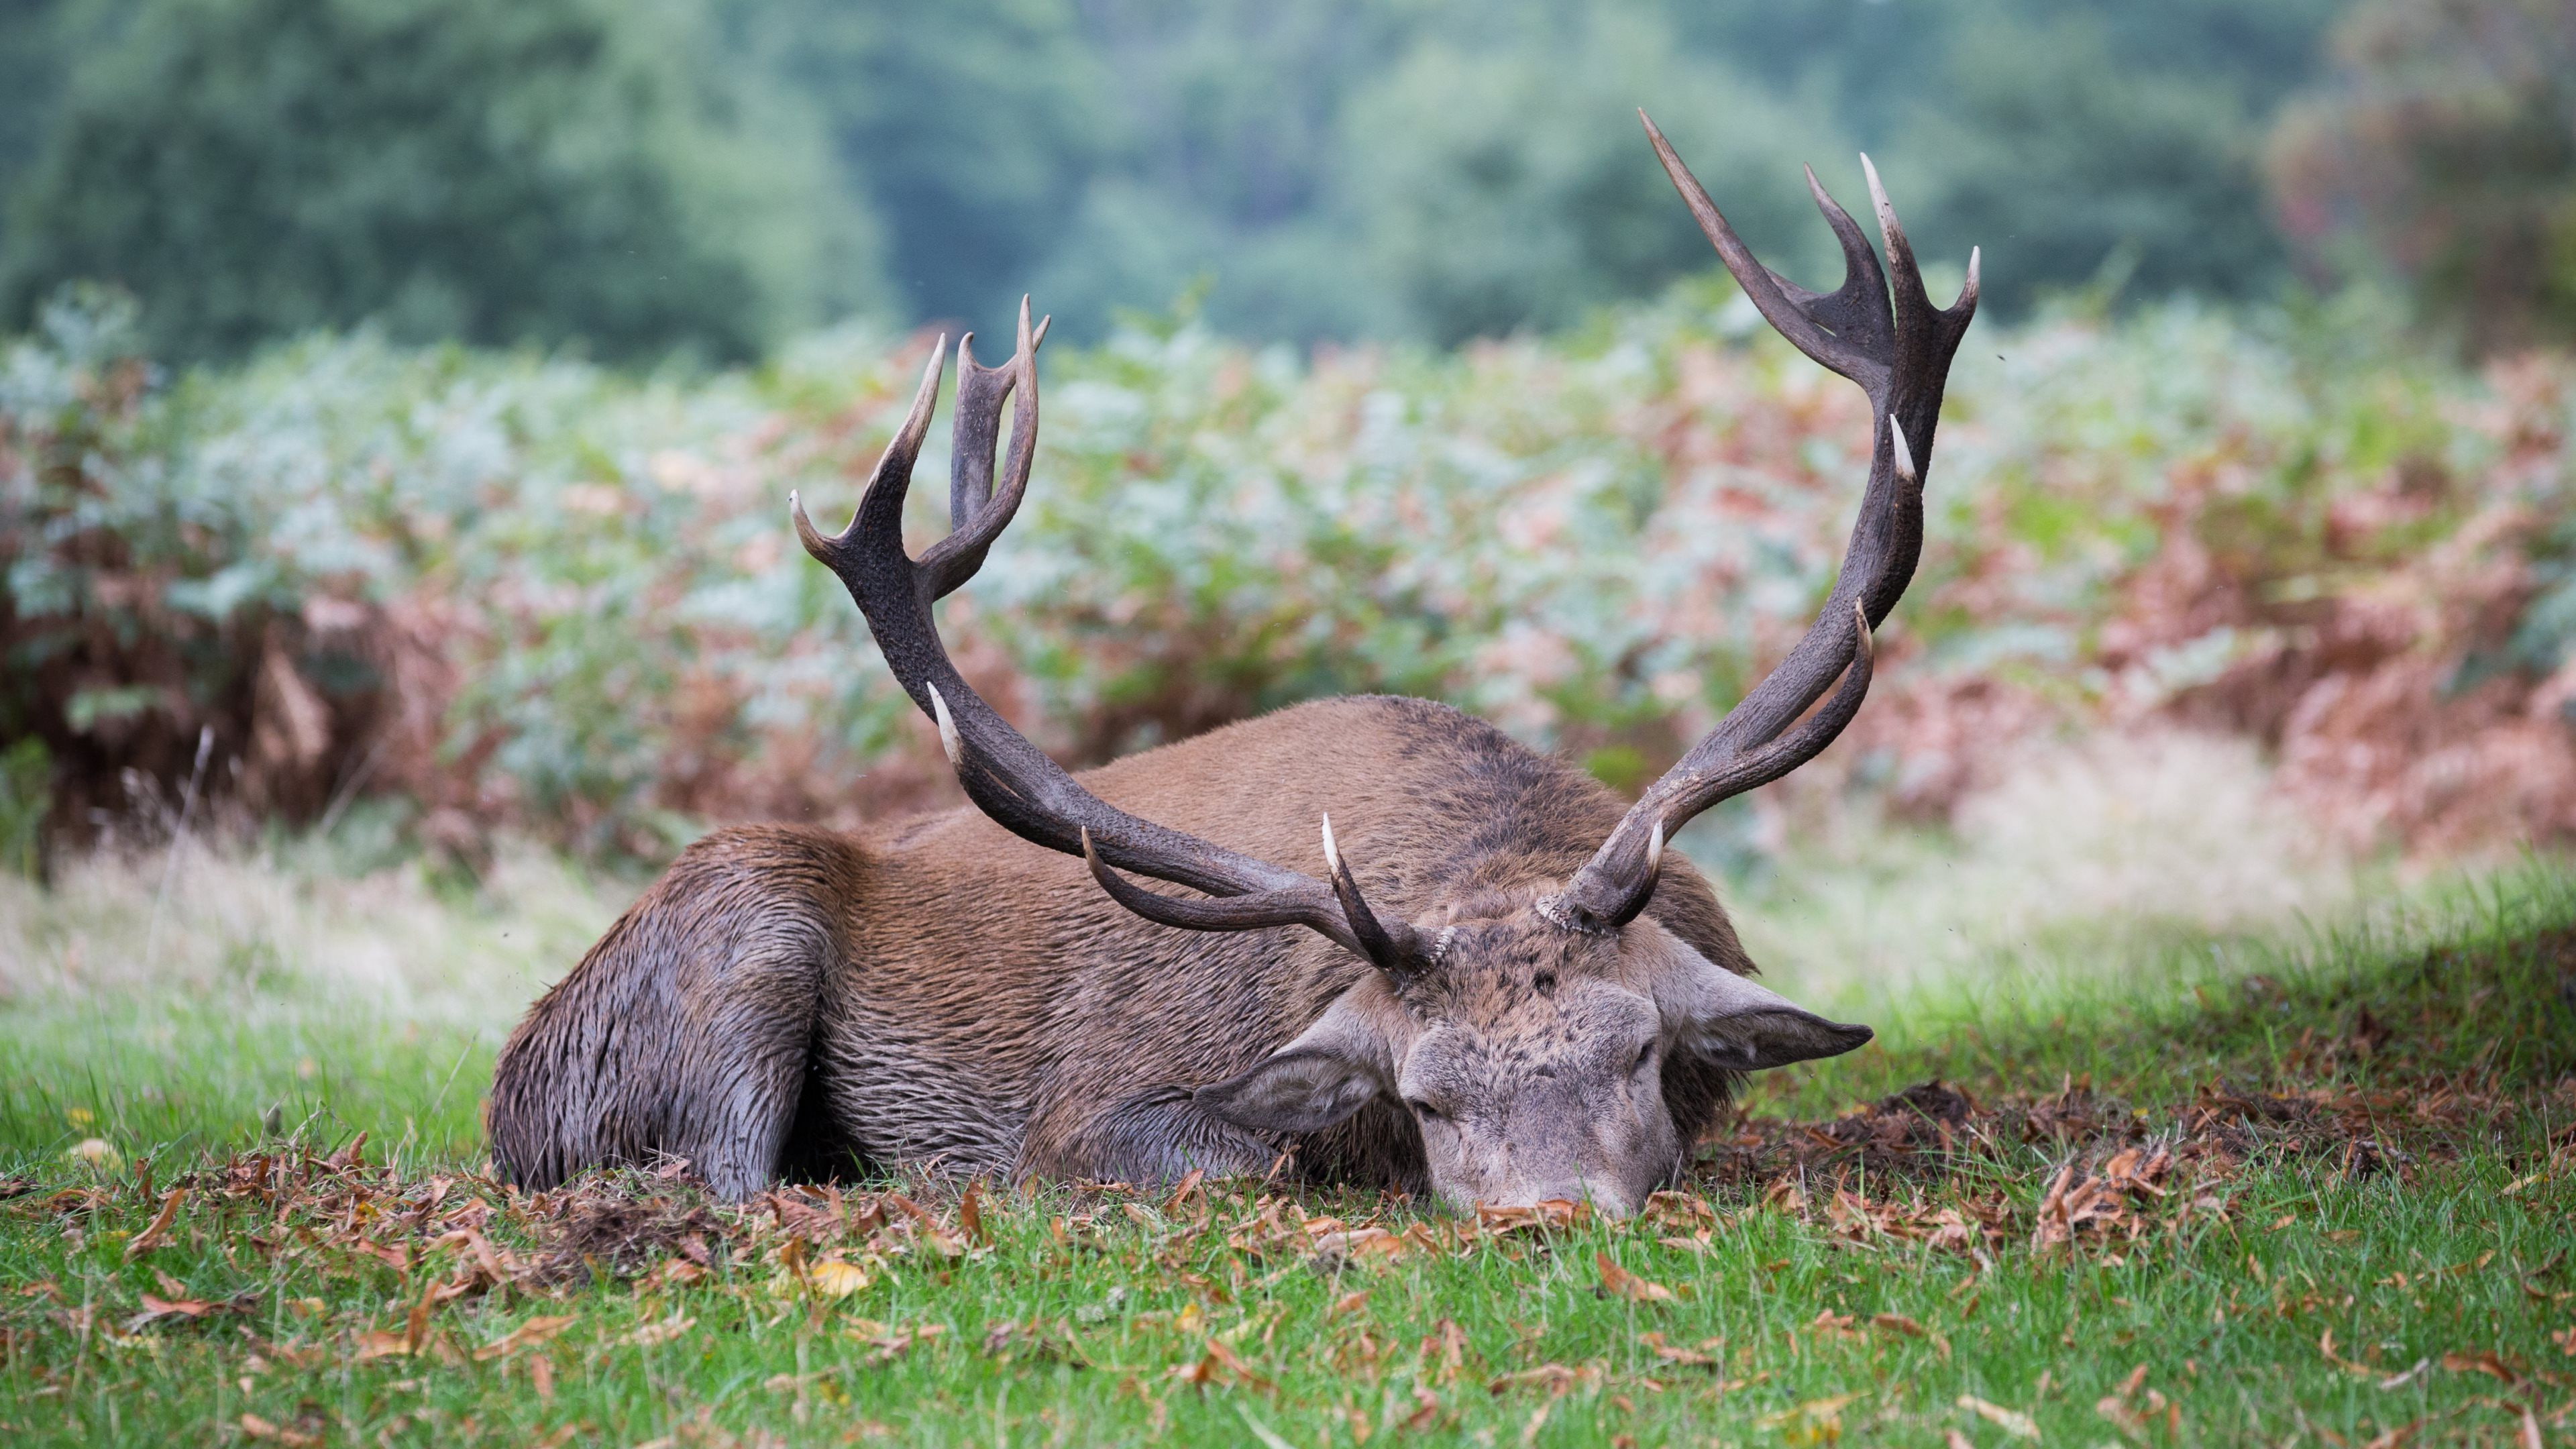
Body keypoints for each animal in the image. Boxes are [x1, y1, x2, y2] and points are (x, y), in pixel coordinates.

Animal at [487, 114, 1977, 1218]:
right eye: (1424, 1097)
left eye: (1643, 1054)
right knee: (728, 1176)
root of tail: (506, 1095)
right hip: (738, 928)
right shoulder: (1098, 1109)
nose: (1543, 1213)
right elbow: (1240, 1164)